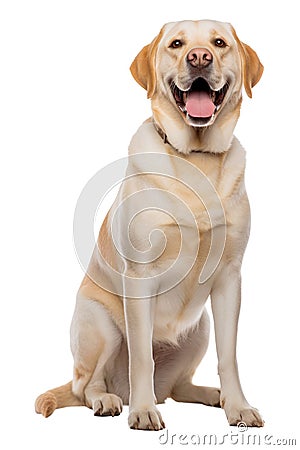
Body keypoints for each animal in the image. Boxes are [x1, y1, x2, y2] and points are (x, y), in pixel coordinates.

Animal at [36, 19, 264, 430]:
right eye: (176, 44)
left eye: (219, 43)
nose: (200, 57)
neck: (196, 156)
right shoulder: (140, 276)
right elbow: (142, 356)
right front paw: (142, 412)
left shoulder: (229, 279)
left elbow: (229, 357)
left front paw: (238, 406)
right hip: (100, 325)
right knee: (85, 386)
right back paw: (111, 400)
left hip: (200, 329)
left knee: (176, 388)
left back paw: (212, 395)